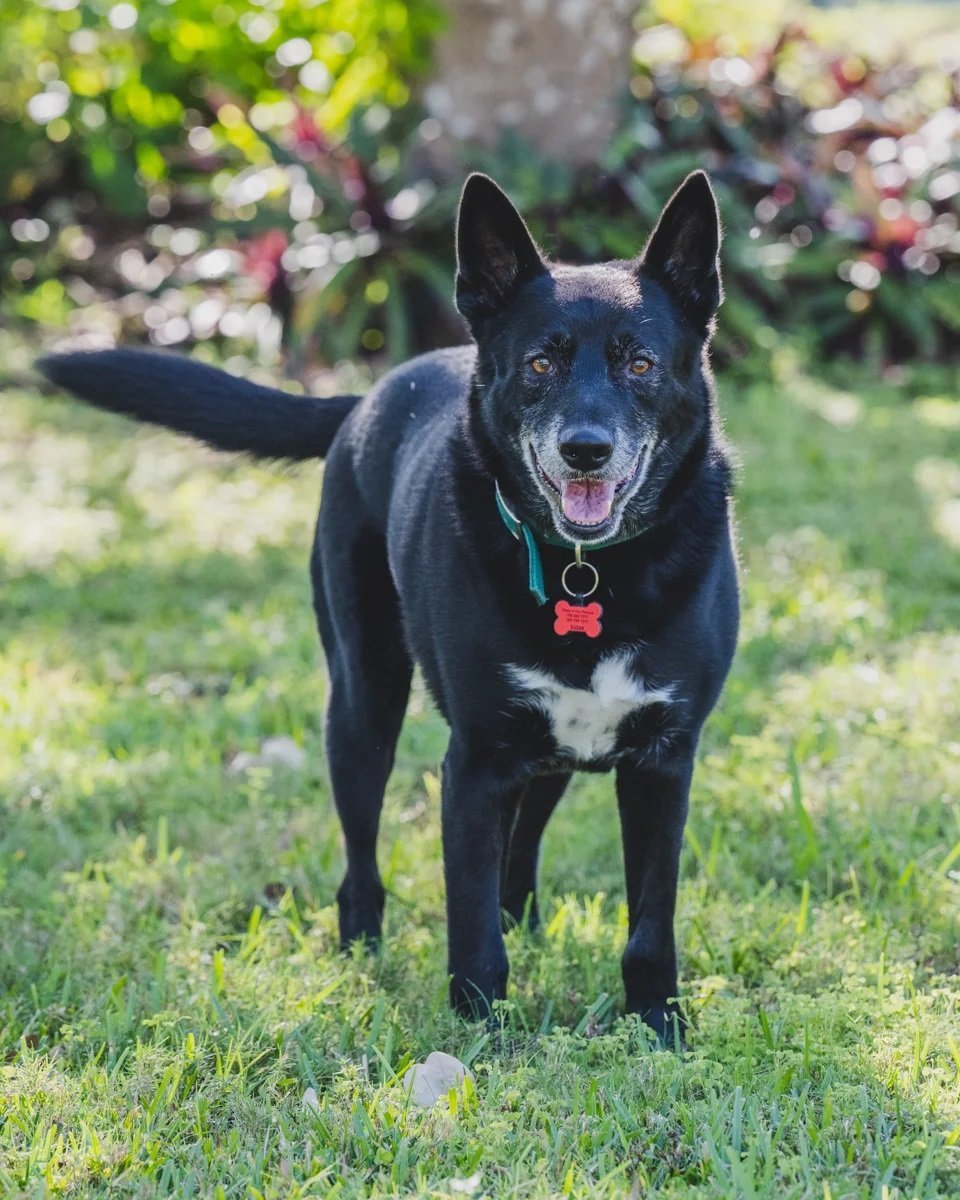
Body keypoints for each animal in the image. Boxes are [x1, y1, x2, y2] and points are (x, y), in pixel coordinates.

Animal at [41, 169, 739, 1041]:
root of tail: (367, 395)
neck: (589, 572)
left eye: (640, 362)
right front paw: (480, 1033)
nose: (585, 449)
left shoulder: (662, 762)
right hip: (362, 696)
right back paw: (362, 954)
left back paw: (521, 923)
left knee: (523, 844)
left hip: (547, 746)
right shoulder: (474, 763)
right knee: (361, 853)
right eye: (540, 363)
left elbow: (650, 917)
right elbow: (469, 924)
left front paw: (659, 1026)